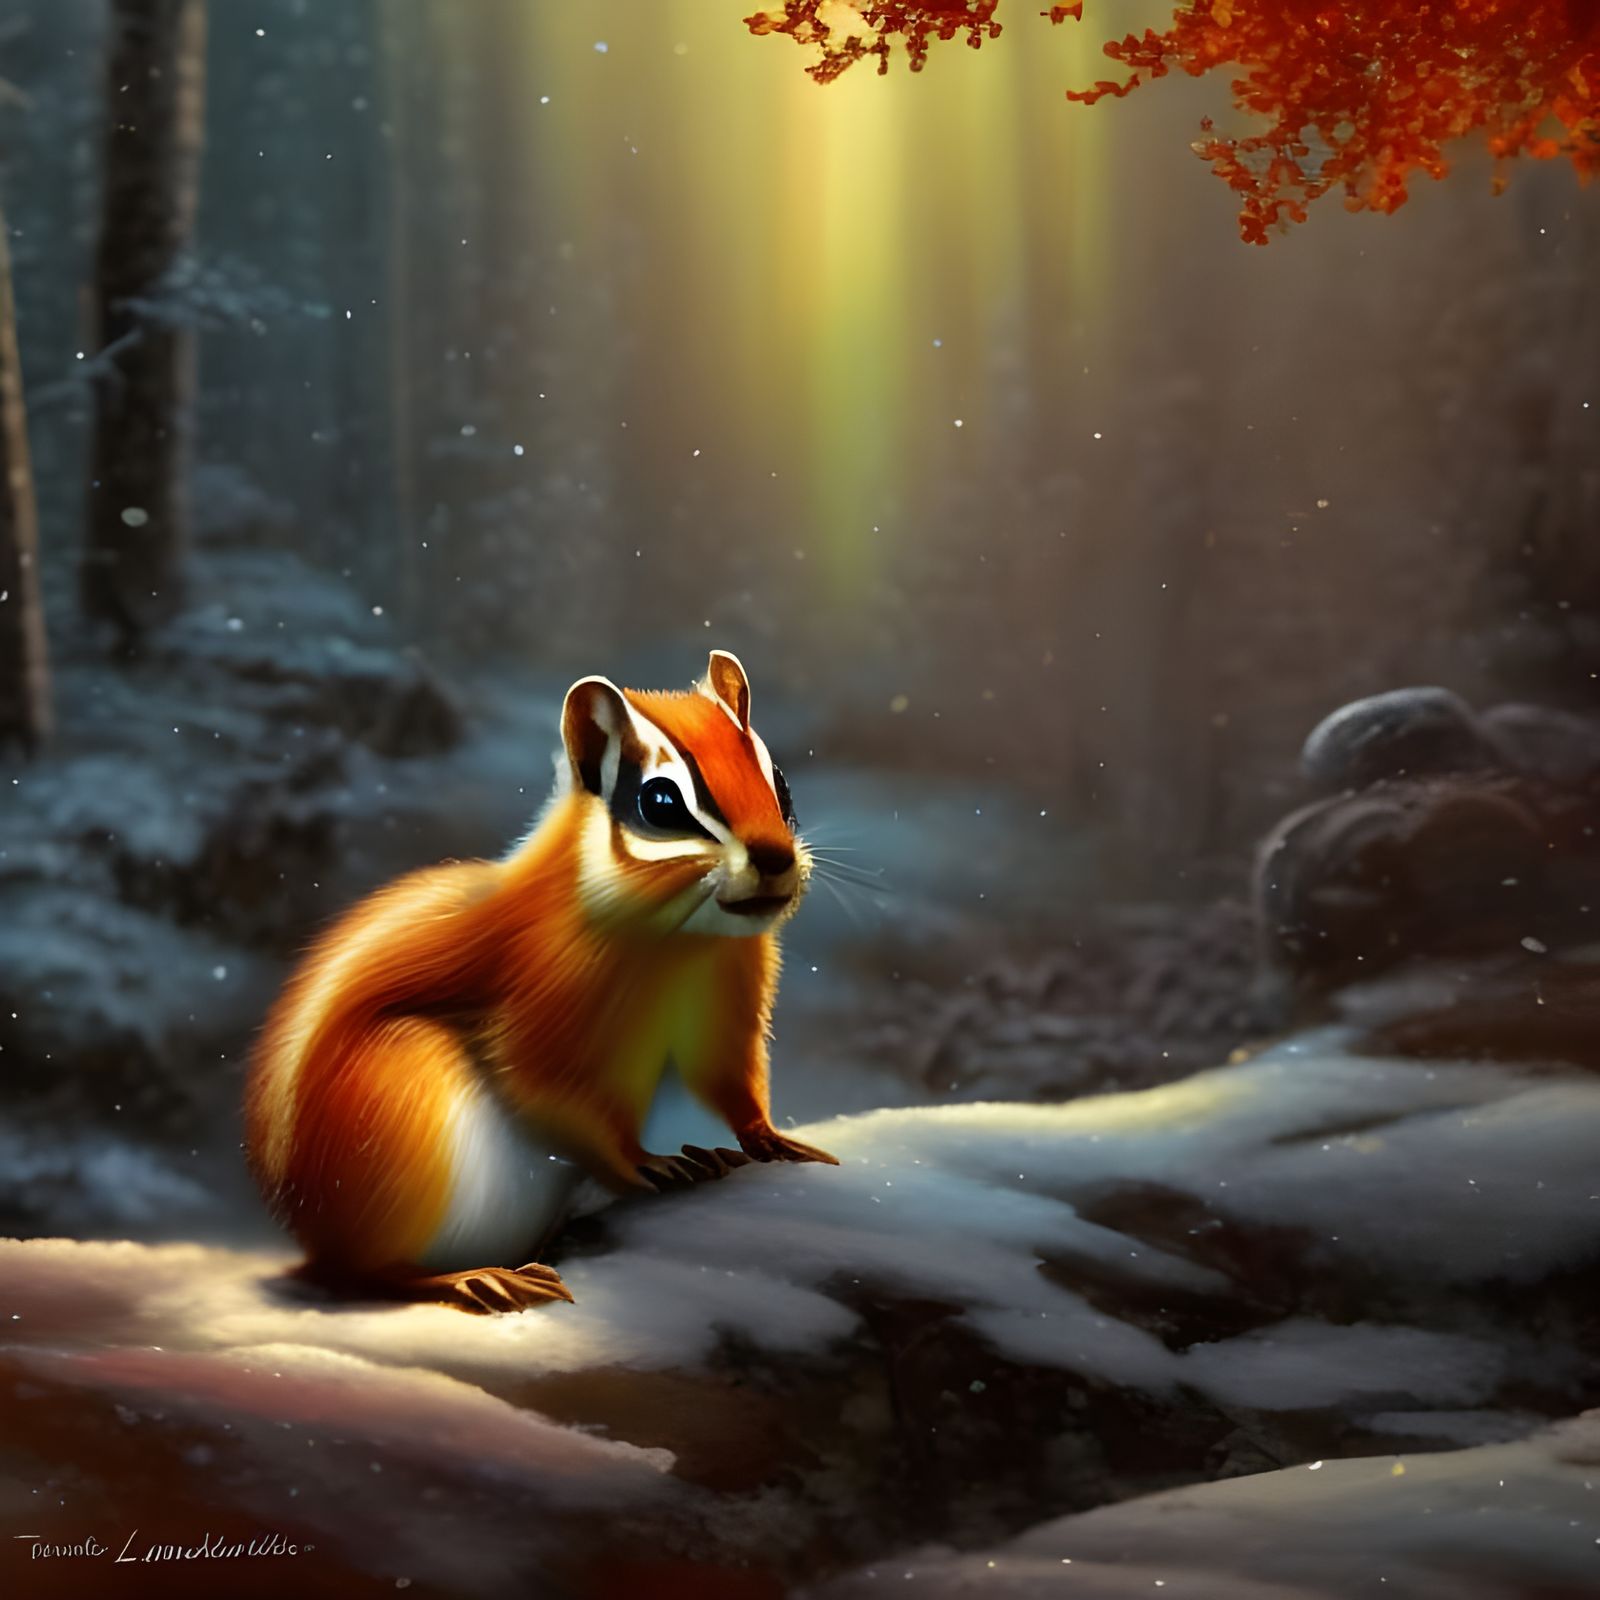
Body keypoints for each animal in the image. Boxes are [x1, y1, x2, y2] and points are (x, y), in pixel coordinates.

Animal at [245, 650, 837, 1313]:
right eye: (661, 802)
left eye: (780, 782)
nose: (775, 857)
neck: (680, 941)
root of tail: (313, 1240)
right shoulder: (537, 1002)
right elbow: (547, 1088)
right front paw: (643, 1161)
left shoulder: (727, 1000)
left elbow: (727, 1075)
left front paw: (767, 1136)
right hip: (399, 1099)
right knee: (369, 1276)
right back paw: (476, 1277)